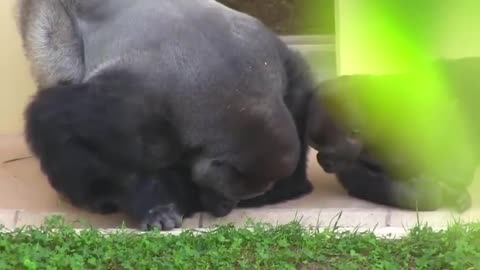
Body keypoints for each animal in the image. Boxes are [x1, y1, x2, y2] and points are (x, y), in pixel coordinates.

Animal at [16, 0, 316, 230]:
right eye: (228, 192)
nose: (226, 207)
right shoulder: (129, 106)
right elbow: (61, 128)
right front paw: (154, 204)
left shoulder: (277, 61)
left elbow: (300, 96)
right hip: (48, 16)